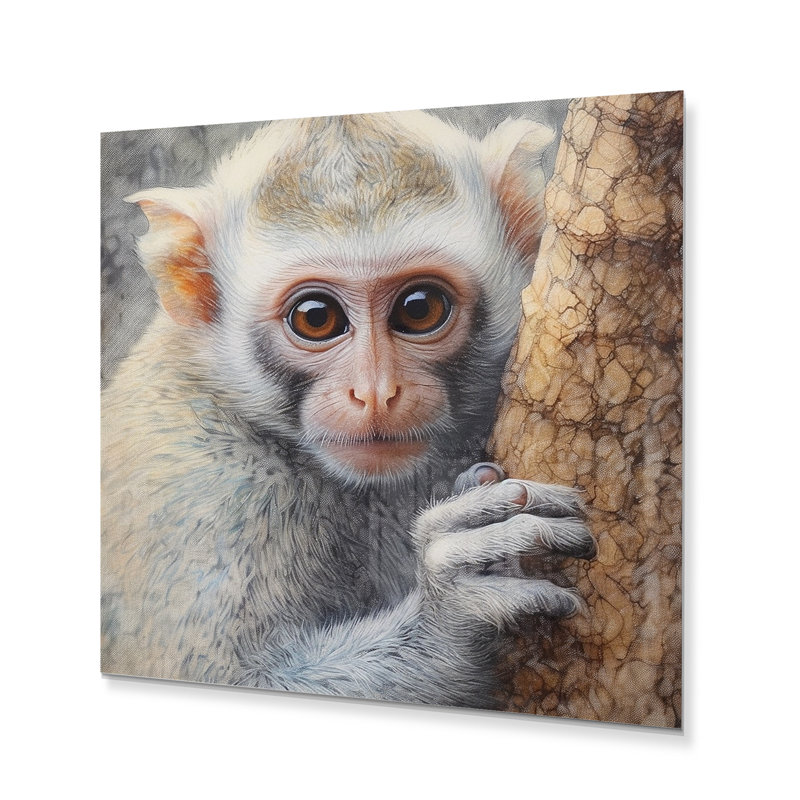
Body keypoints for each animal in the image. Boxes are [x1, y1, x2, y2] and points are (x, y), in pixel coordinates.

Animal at [101, 111, 596, 708]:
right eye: (316, 318)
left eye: (419, 308)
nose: (375, 392)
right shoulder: (199, 483)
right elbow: (232, 673)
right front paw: (453, 609)